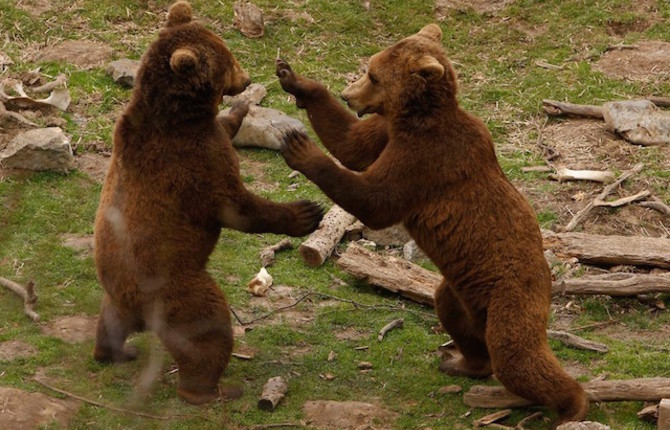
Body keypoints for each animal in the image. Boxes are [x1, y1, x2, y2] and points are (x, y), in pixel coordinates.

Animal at [94, 0, 322, 404]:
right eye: (228, 60)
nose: (246, 80)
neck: (179, 114)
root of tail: (133, 302)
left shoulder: (202, 136)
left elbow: (226, 129)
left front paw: (241, 109)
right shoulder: (192, 164)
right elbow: (238, 206)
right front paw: (305, 212)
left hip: (116, 293)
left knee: (110, 321)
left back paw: (116, 351)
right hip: (176, 288)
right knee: (207, 330)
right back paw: (209, 388)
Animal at [276, 24, 592, 426]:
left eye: (374, 76)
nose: (348, 95)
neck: (416, 119)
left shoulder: (426, 160)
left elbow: (375, 199)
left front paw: (300, 148)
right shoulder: (388, 134)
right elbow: (350, 143)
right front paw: (293, 79)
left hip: (512, 295)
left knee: (516, 356)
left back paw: (573, 405)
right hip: (458, 290)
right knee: (455, 318)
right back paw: (461, 361)